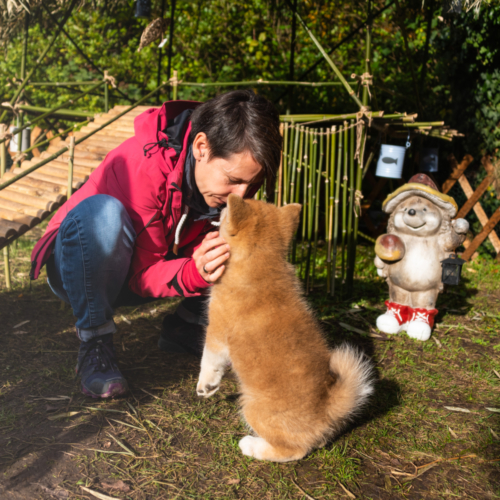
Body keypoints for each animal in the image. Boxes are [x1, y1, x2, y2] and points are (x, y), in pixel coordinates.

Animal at [197, 194, 374, 460]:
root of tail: (326, 410)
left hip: (252, 407)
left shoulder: (216, 330)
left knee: (292, 451)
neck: (260, 259)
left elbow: (208, 361)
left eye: (226, 210)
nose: (217, 207)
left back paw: (252, 445)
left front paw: (204, 385)